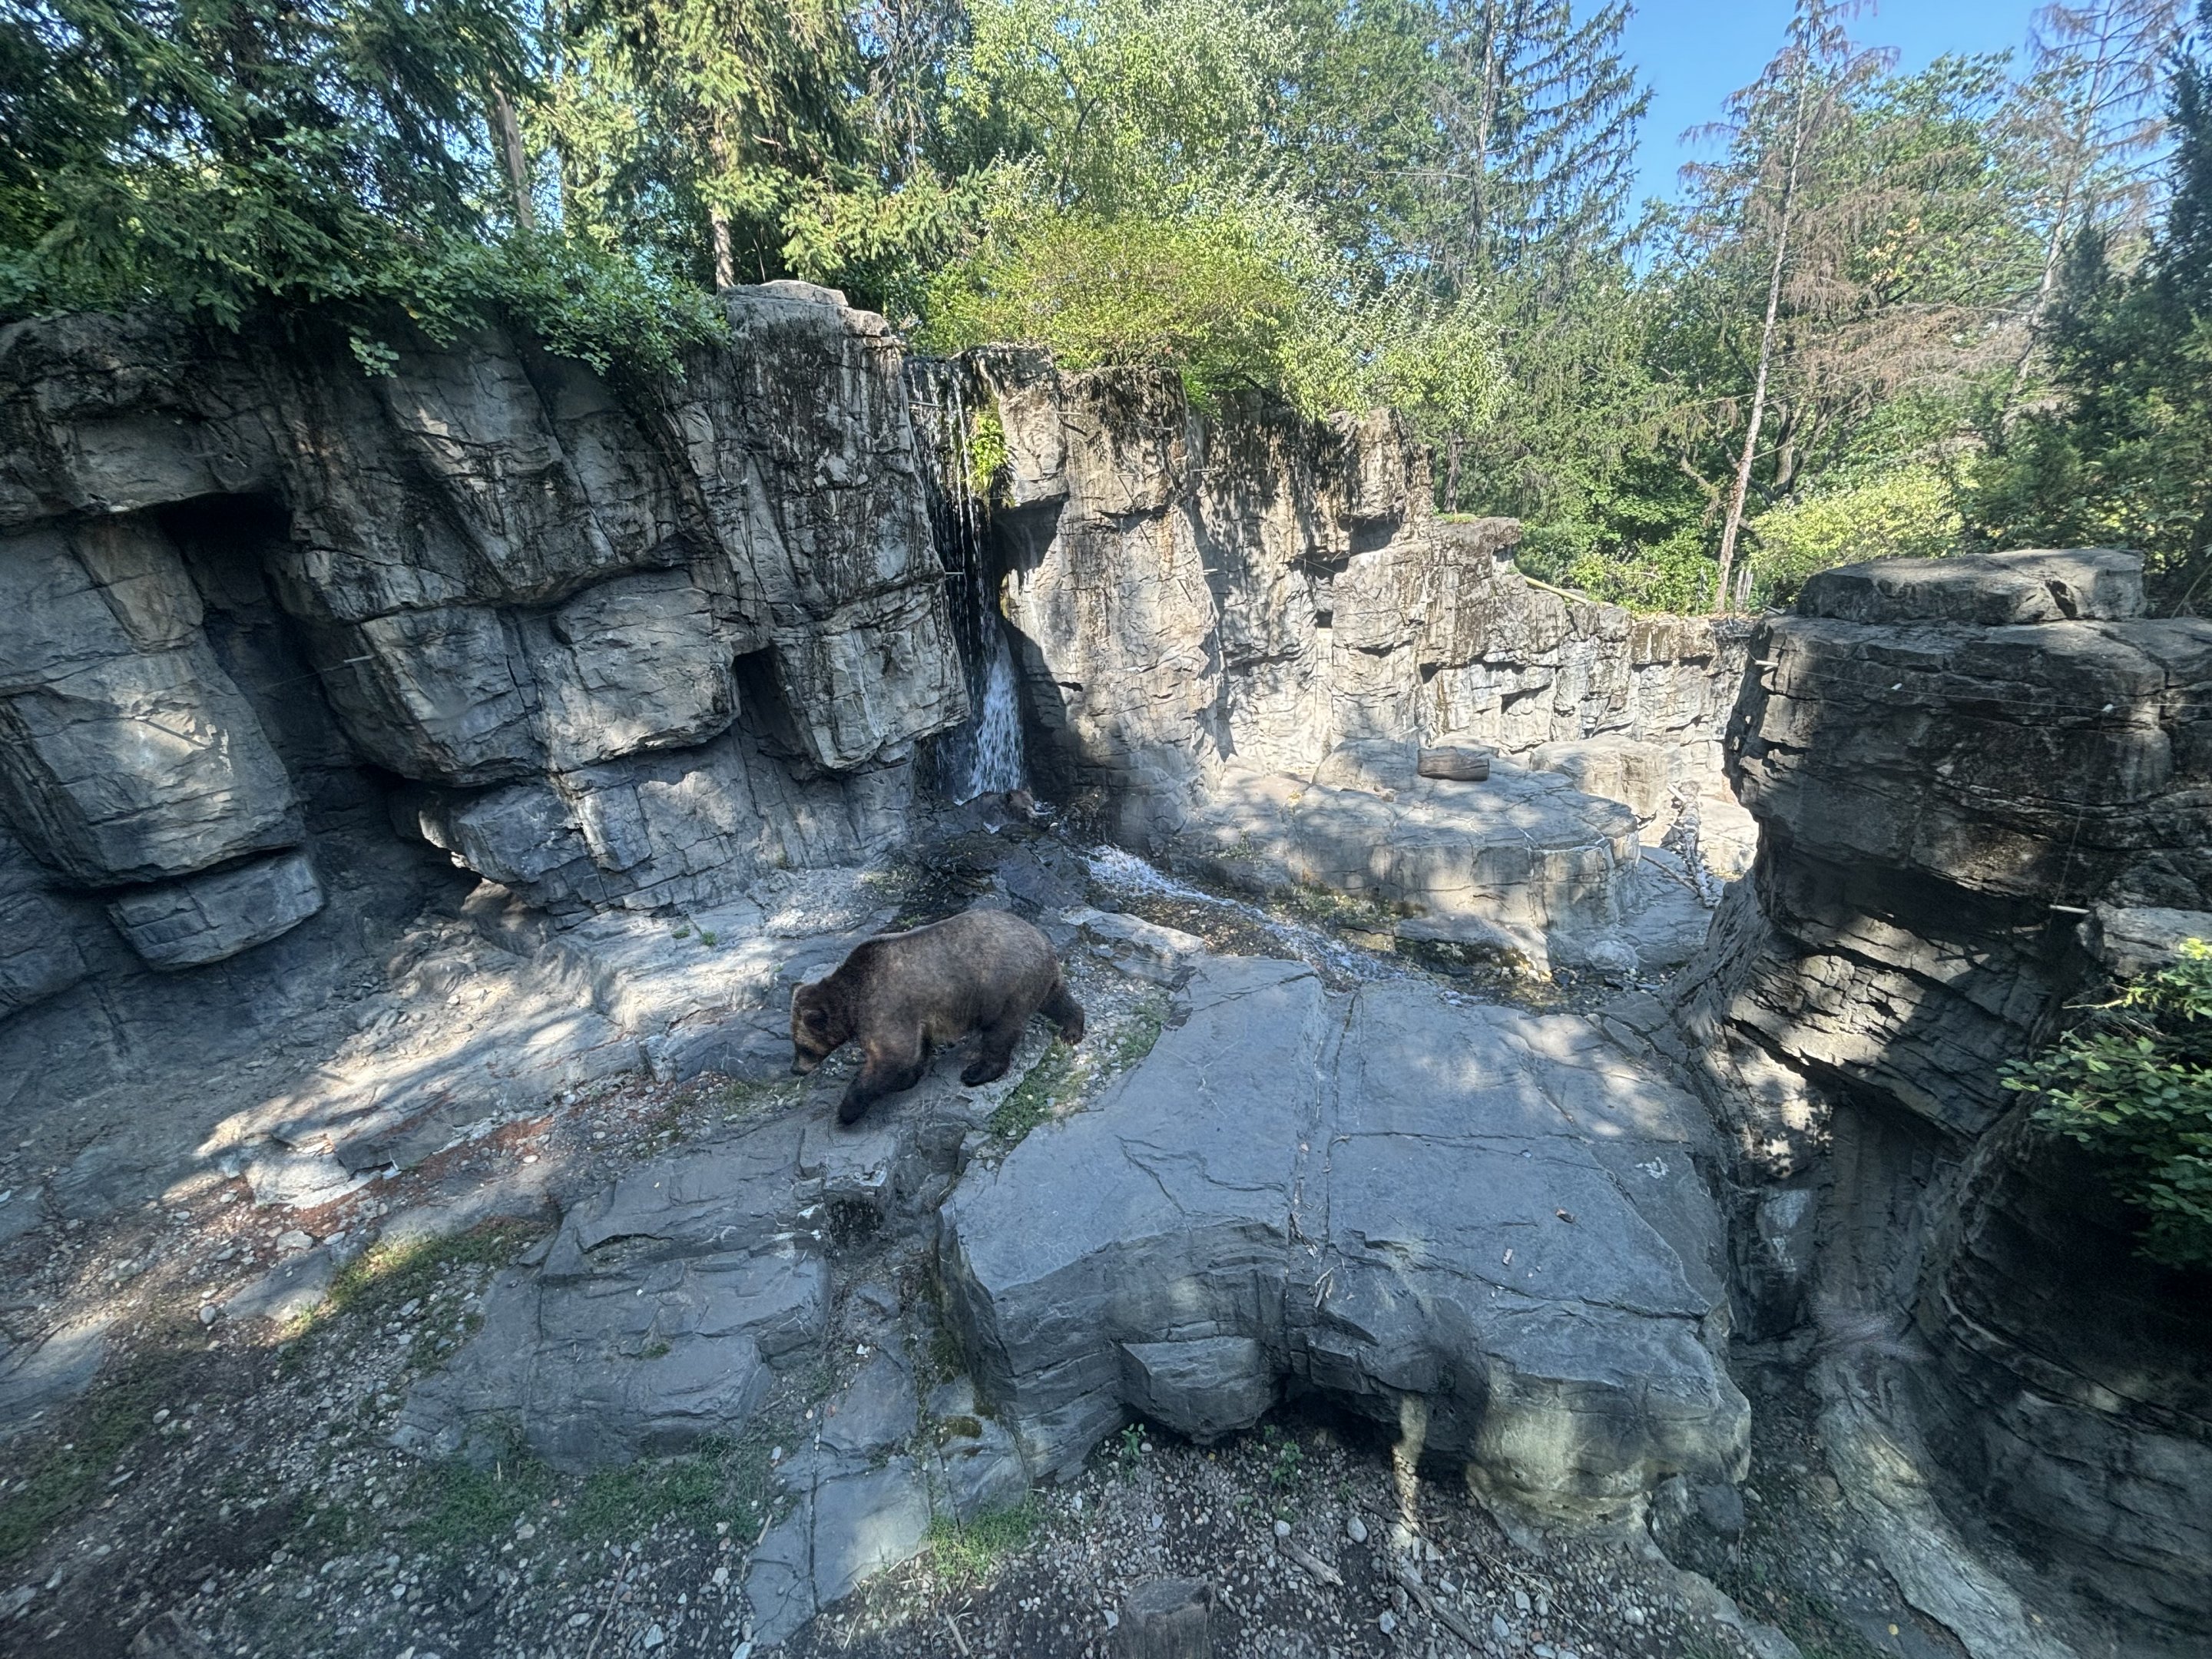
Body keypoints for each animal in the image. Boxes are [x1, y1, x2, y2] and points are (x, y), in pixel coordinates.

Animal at [790, 907, 1086, 1126]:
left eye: (800, 1046)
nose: (796, 1069)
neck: (852, 999)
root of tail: (1043, 942)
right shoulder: (913, 1016)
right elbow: (914, 1052)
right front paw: (906, 1079)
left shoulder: (884, 1008)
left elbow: (893, 1056)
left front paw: (847, 1110)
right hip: (1035, 981)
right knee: (1057, 1000)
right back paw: (1072, 1030)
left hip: (1004, 989)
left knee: (1000, 1033)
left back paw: (975, 1072)